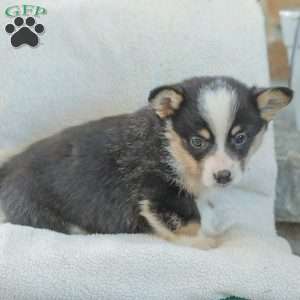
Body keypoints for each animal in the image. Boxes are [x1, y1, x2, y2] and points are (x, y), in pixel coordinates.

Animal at [0, 77, 292, 248]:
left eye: (240, 138)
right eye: (197, 142)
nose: (223, 176)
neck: (171, 145)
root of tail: (10, 167)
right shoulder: (160, 193)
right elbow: (190, 221)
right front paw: (207, 242)